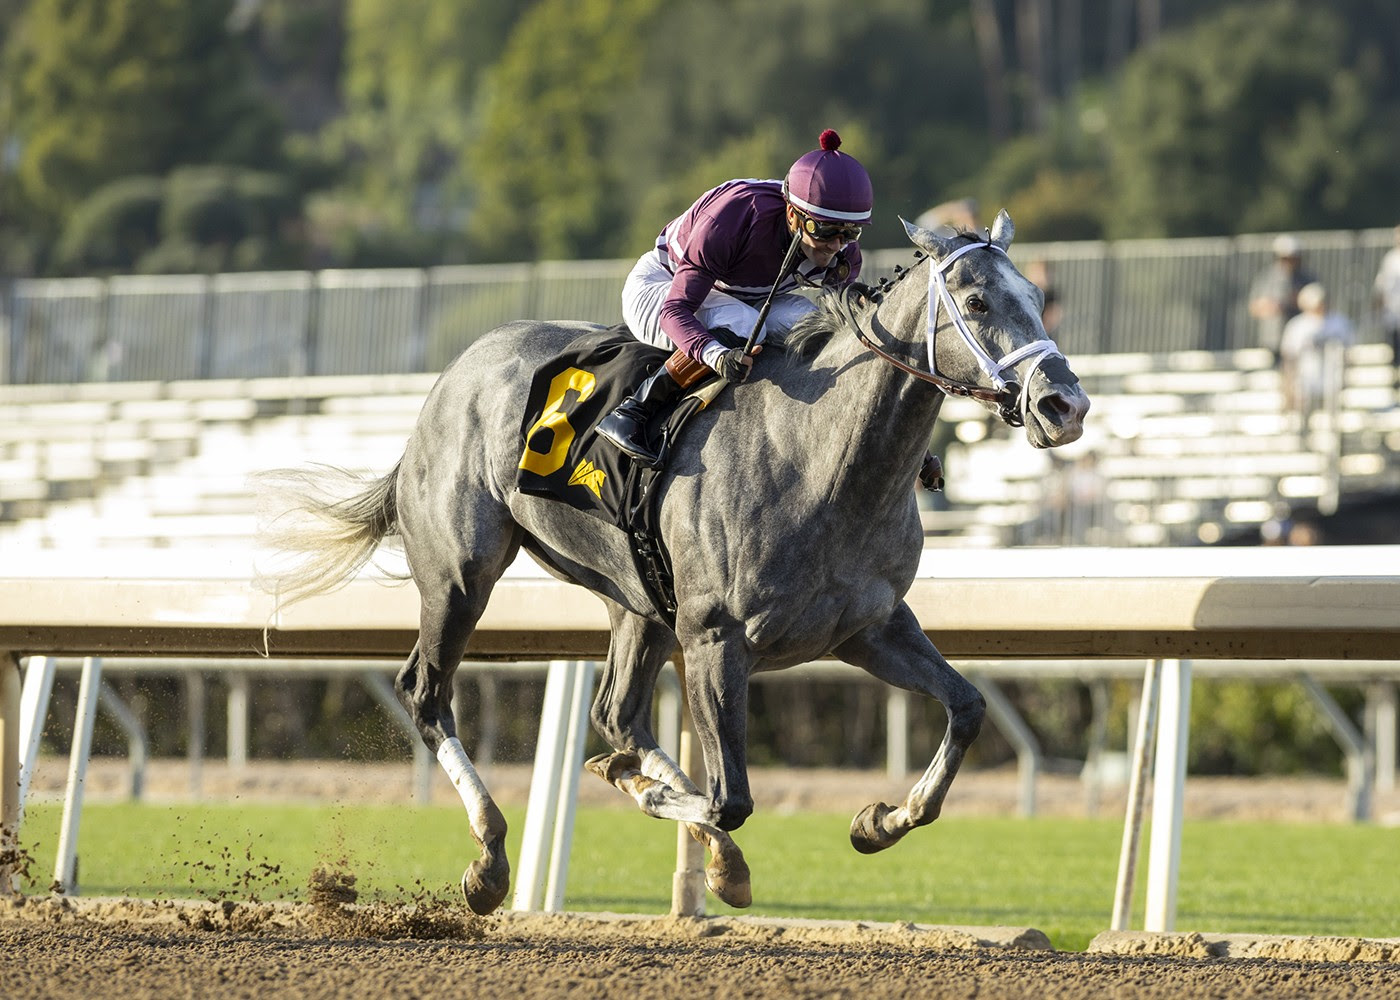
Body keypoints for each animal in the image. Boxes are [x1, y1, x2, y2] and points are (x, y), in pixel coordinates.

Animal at [255, 210, 1091, 916]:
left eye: (1035, 296)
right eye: (977, 302)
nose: (1065, 405)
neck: (822, 461)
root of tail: (452, 377)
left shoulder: (869, 629)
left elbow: (967, 707)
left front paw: (881, 819)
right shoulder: (718, 637)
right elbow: (730, 796)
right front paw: (642, 791)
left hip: (637, 601)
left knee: (617, 713)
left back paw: (708, 851)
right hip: (462, 573)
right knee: (428, 693)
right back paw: (491, 859)